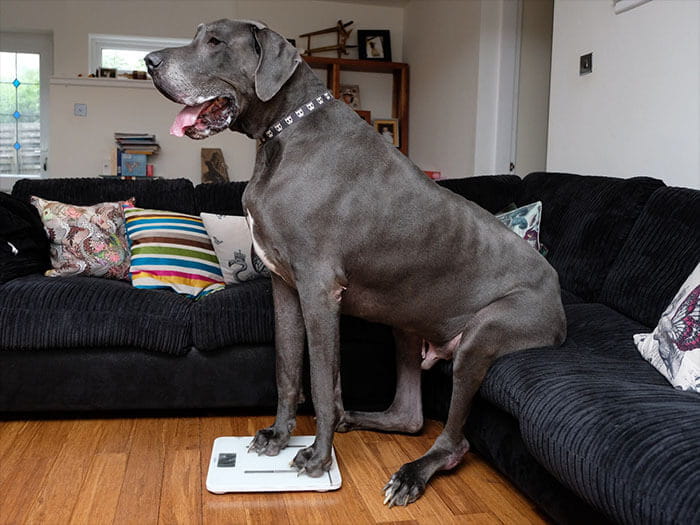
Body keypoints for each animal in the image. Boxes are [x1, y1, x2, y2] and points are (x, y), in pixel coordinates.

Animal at [145, 18, 568, 506]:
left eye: (214, 42)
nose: (149, 62)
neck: (284, 132)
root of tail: (558, 295)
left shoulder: (319, 290)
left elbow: (322, 381)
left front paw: (317, 456)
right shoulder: (284, 287)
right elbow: (288, 368)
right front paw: (278, 435)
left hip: (484, 336)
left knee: (454, 441)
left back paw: (411, 473)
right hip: (406, 321)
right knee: (410, 417)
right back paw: (358, 418)